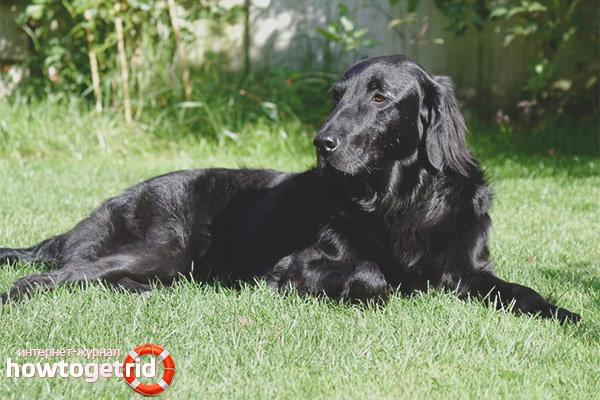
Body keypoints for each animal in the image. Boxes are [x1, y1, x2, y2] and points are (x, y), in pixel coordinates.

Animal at [0, 55, 580, 323]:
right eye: (335, 95)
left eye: (379, 97)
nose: (322, 143)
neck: (401, 198)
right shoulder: (296, 265)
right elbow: (375, 276)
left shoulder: (469, 269)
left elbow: (523, 292)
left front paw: (569, 317)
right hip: (158, 246)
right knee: (48, 277)